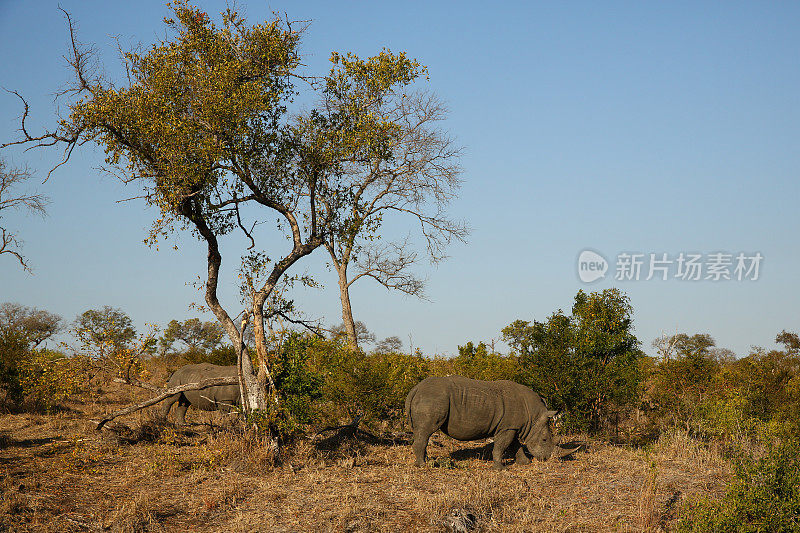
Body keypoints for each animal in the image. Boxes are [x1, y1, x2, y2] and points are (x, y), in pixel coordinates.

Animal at [404, 374, 560, 470]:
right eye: (545, 439)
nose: (547, 458)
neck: (533, 416)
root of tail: (415, 389)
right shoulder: (508, 427)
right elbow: (501, 446)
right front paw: (500, 469)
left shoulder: (511, 426)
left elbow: (515, 445)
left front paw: (525, 463)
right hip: (432, 398)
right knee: (426, 431)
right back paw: (423, 465)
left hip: (429, 397)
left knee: (422, 433)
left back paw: (427, 461)